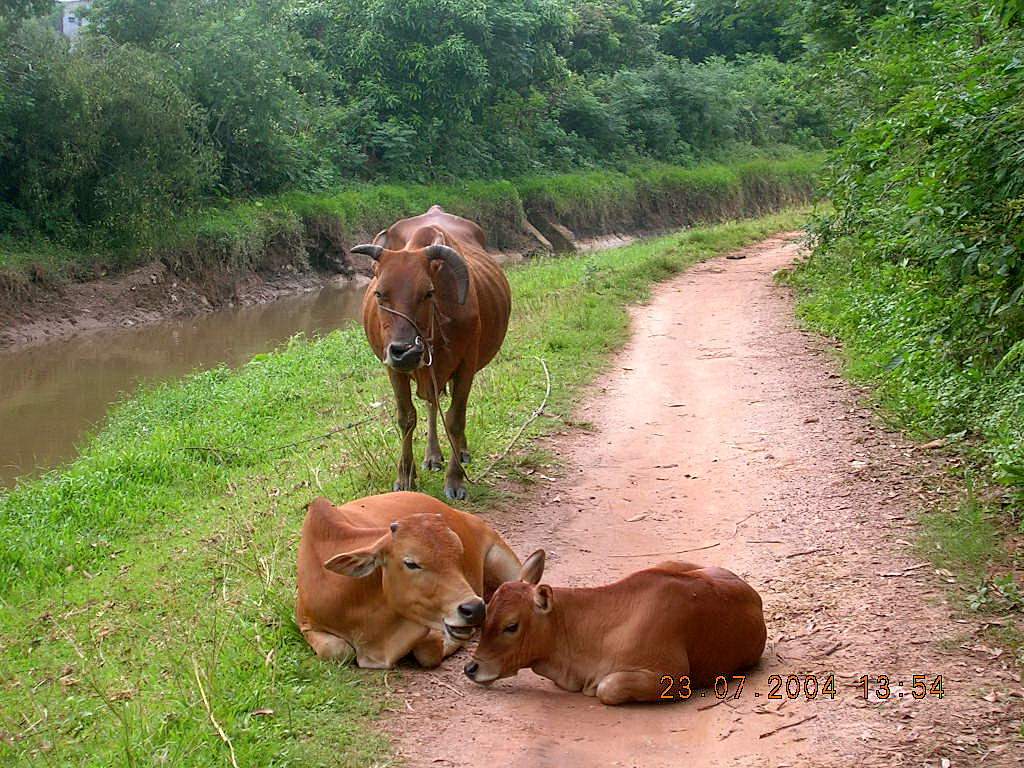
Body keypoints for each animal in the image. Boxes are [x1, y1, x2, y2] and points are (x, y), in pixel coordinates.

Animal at [295, 491, 521, 669]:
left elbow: (429, 650)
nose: (475, 609)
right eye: (411, 563)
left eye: (460, 554)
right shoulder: (306, 623)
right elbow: (336, 651)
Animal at [353, 206, 512, 500]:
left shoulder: (466, 365)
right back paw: (433, 456)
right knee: (431, 404)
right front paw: (405, 476)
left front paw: (455, 480)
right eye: (379, 293)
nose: (404, 352)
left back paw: (460, 452)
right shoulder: (393, 369)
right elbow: (407, 418)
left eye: (428, 293)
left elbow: (456, 419)